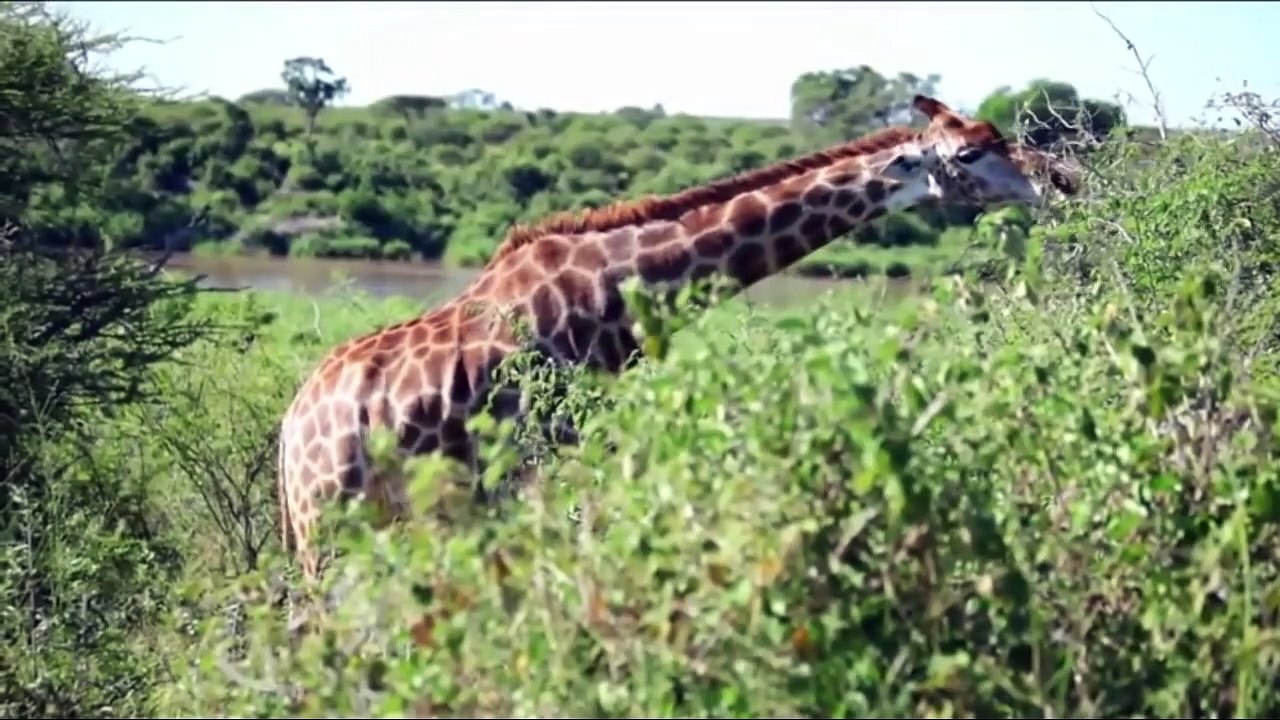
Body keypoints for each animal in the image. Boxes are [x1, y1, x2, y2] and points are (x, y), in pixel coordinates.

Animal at [276, 95, 1081, 580]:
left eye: (998, 135)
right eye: (969, 154)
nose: (1064, 179)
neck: (621, 293)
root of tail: (290, 429)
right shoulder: (552, 458)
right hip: (330, 517)